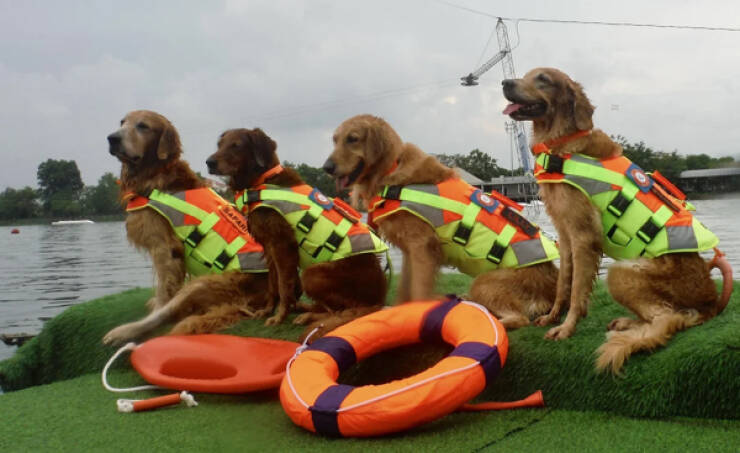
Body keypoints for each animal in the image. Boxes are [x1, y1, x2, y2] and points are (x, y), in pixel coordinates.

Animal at [101, 111, 268, 344]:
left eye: (143, 126)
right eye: (122, 122)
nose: (112, 138)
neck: (155, 174)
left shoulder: (164, 248)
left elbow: (164, 291)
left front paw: (155, 304)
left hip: (205, 282)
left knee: (166, 314)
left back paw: (123, 331)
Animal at [204, 125, 388, 338]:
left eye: (237, 145)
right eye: (220, 144)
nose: (209, 162)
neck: (260, 181)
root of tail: (379, 299)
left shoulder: (282, 245)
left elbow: (284, 287)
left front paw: (278, 317)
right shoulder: (268, 247)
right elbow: (273, 285)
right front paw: (268, 310)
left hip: (311, 273)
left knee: (343, 311)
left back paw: (305, 315)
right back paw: (301, 308)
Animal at [320, 115, 556, 328]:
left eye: (352, 139)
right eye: (335, 139)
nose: (326, 167)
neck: (391, 171)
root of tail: (552, 286)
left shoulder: (422, 247)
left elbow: (418, 291)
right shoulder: (410, 252)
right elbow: (405, 290)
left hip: (483, 282)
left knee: (519, 318)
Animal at [500, 66, 732, 370]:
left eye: (543, 80)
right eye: (527, 75)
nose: (505, 82)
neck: (562, 144)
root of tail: (712, 302)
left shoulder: (584, 236)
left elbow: (577, 290)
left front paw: (566, 328)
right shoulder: (565, 234)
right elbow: (564, 284)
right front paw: (552, 317)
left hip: (622, 272)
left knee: (668, 319)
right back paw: (625, 323)